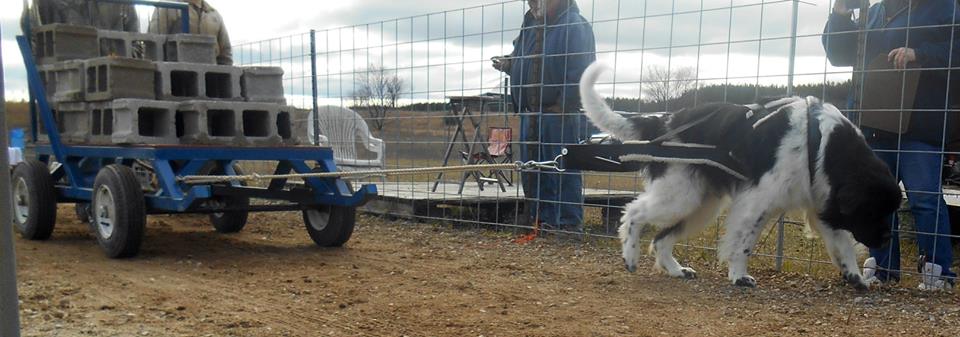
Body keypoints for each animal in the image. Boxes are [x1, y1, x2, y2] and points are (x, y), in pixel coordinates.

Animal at [580, 63, 904, 288]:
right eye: (873, 210)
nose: (887, 238)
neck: (822, 142)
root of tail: (664, 122)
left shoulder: (825, 203)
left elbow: (843, 245)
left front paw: (856, 277)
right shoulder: (757, 203)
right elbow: (743, 244)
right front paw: (738, 276)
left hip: (701, 205)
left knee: (661, 239)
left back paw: (675, 270)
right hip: (681, 196)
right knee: (633, 213)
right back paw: (630, 257)